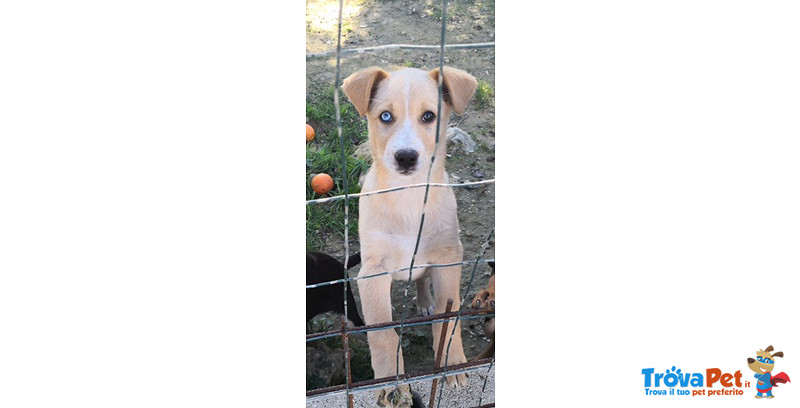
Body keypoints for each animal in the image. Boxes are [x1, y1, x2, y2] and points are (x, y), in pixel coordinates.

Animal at [342, 65, 478, 406]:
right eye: (385, 116)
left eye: (429, 116)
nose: (405, 157)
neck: (408, 195)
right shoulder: (372, 273)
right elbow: (383, 334)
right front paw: (391, 384)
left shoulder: (448, 258)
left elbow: (448, 317)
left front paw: (452, 364)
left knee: (421, 281)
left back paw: (425, 302)